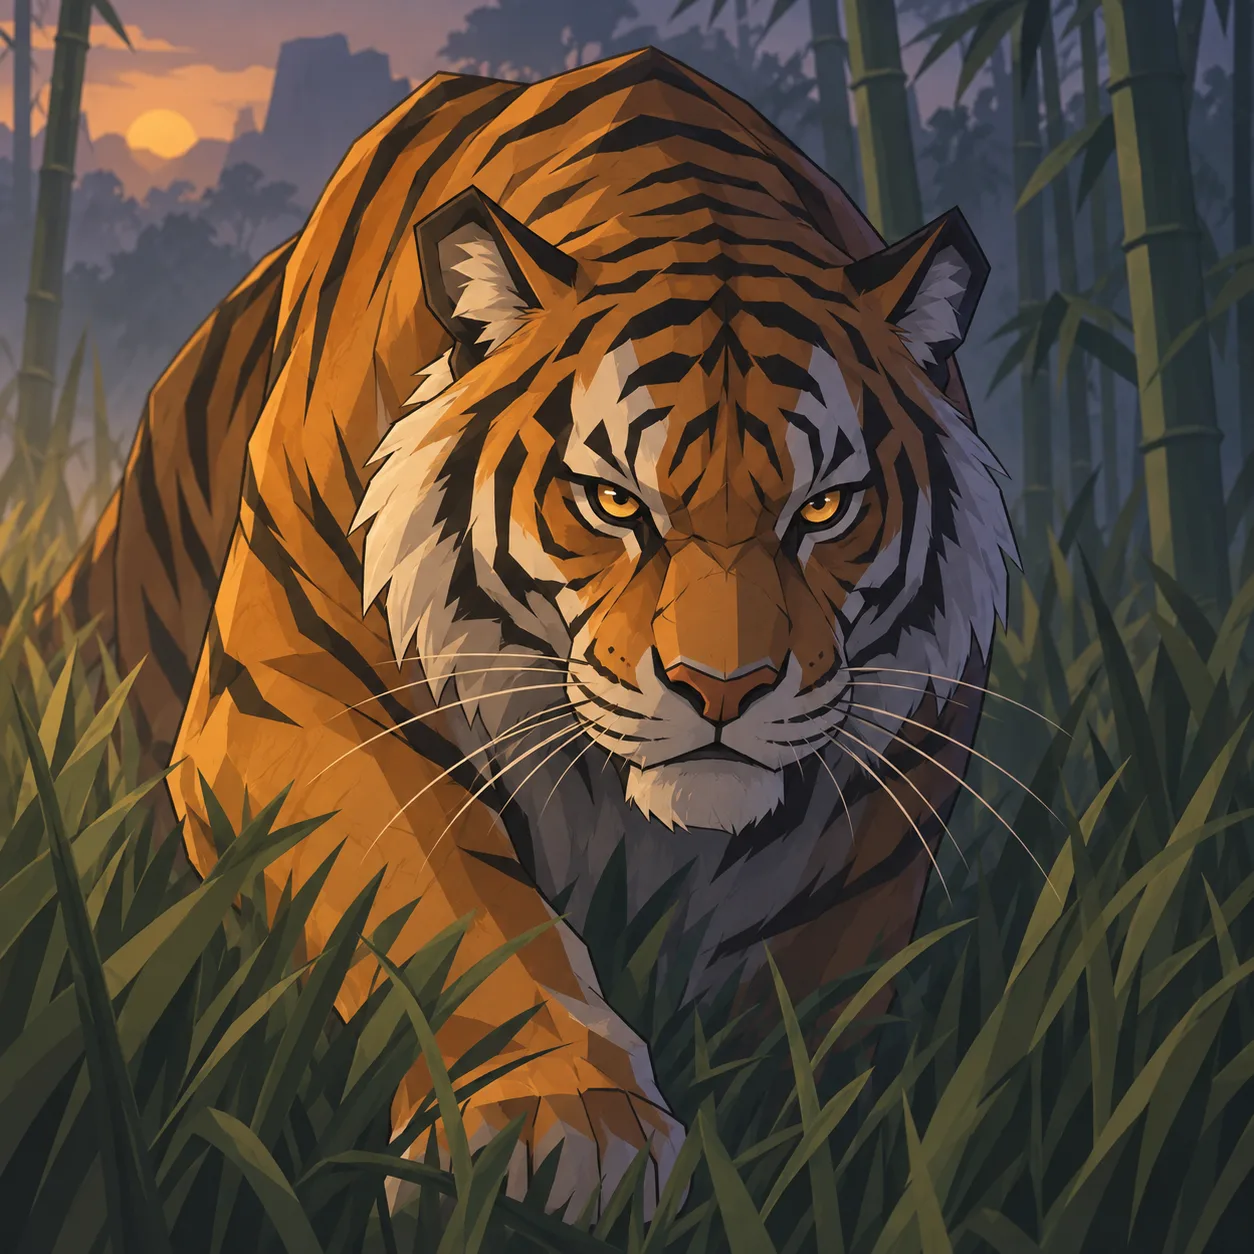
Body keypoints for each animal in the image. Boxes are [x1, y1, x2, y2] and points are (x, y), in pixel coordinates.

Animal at [36, 47, 1015, 1222]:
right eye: (616, 502)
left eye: (823, 508)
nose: (722, 691)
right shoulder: (291, 694)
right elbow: (453, 909)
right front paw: (566, 1131)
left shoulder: (888, 795)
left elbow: (809, 1027)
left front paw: (796, 1154)